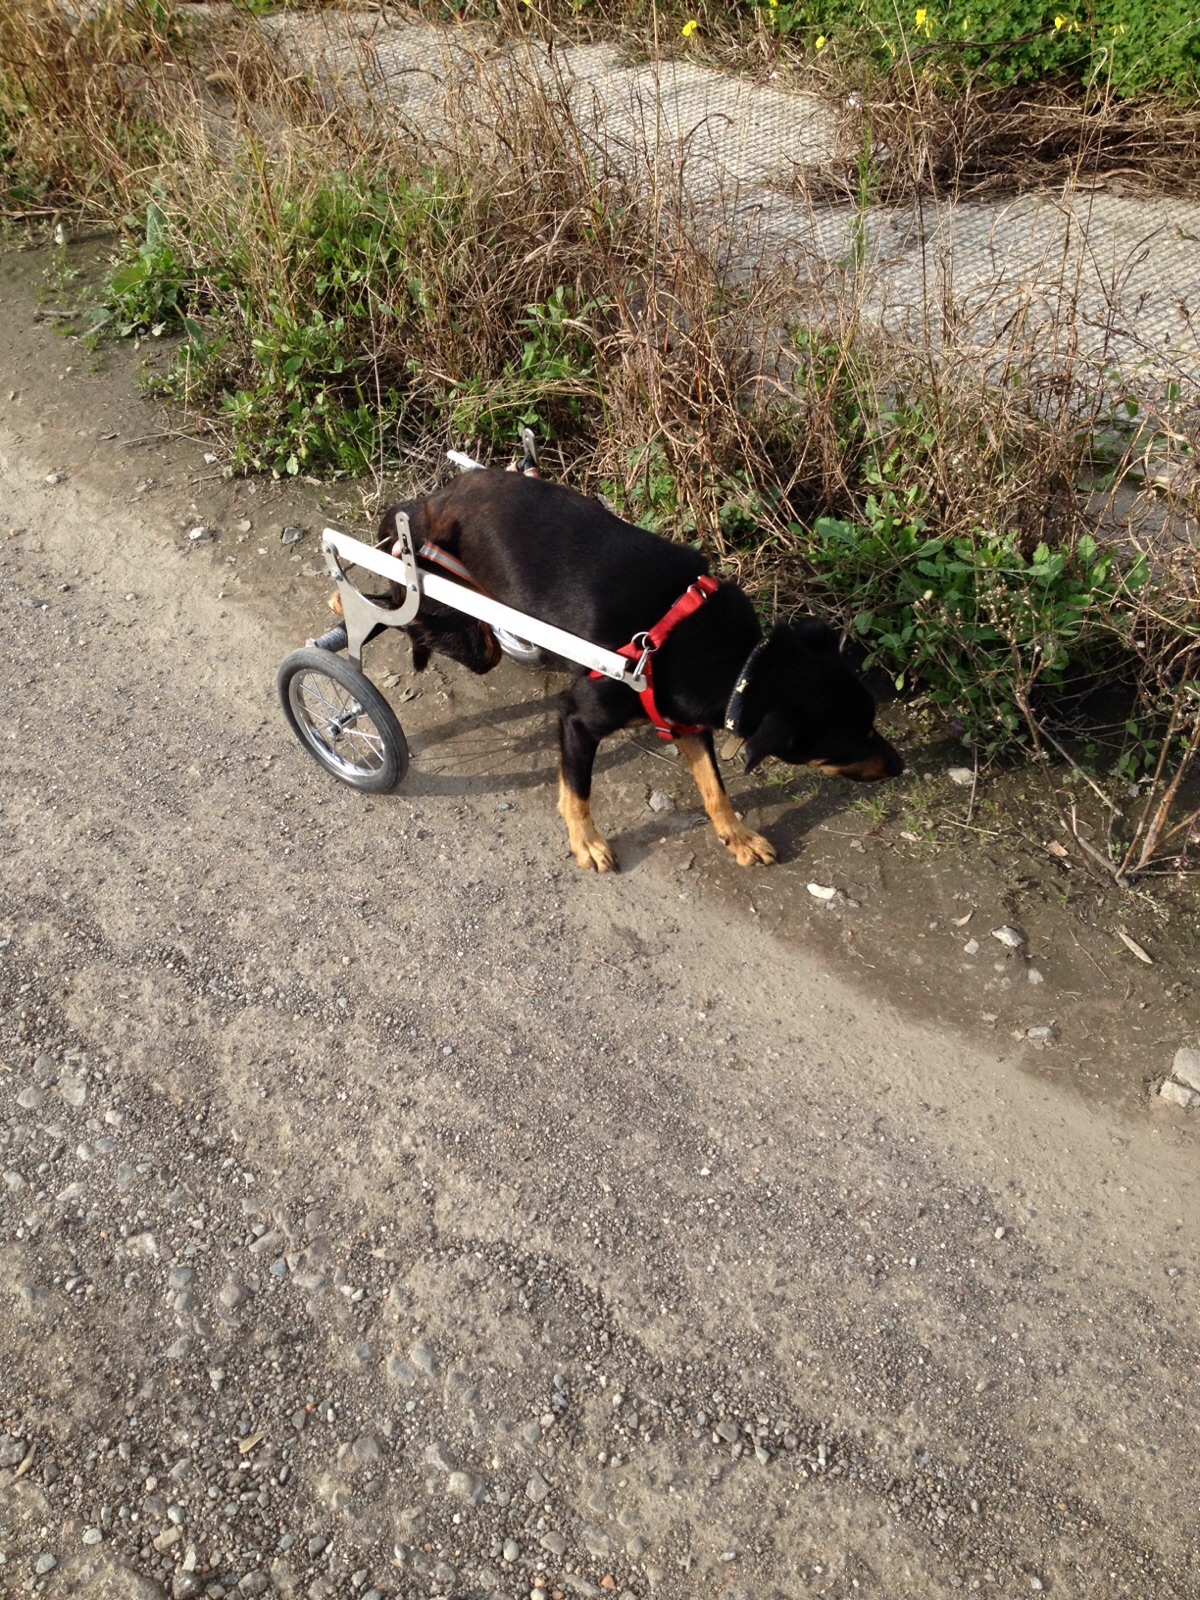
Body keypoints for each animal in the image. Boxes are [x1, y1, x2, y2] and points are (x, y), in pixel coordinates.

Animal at [337, 468, 903, 871]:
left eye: (873, 724)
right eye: (855, 740)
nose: (901, 767)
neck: (740, 662)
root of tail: (434, 498)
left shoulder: (685, 721)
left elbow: (715, 790)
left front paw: (737, 836)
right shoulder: (577, 719)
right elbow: (578, 791)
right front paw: (585, 841)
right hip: (453, 615)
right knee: (399, 611)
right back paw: (345, 604)